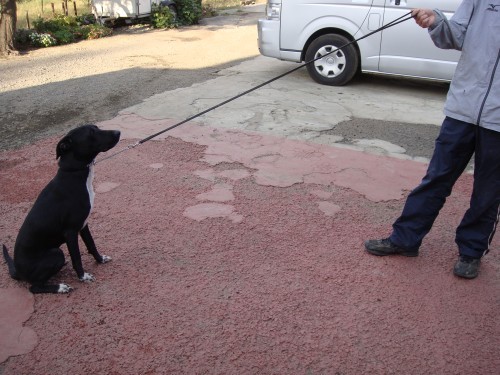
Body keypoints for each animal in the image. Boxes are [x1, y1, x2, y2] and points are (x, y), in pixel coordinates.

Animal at [3, 125, 121, 296]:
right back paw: (60, 287)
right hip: (56, 253)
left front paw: (100, 260)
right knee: (34, 287)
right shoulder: (70, 231)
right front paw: (83, 277)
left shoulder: (83, 225)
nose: (118, 132)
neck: (73, 173)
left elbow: (91, 245)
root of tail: (18, 271)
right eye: (91, 133)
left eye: (96, 128)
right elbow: (76, 257)